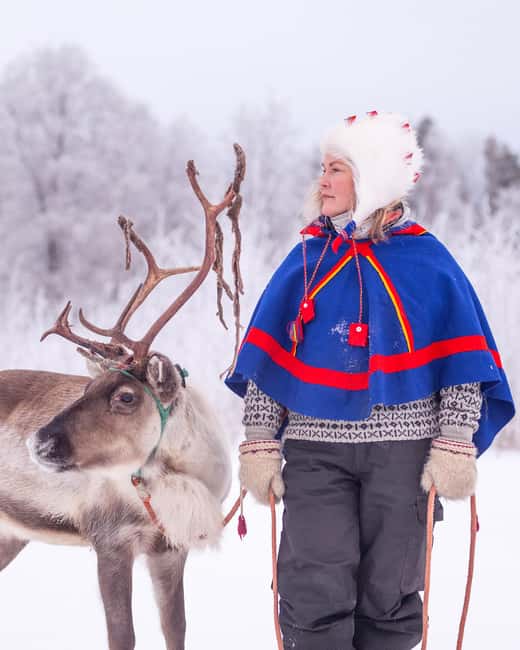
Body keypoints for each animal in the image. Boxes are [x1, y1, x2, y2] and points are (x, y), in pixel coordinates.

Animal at [0, 144, 246, 650]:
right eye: (88, 387)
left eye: (126, 397)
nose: (40, 442)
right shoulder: (109, 540)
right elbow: (122, 636)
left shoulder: (169, 548)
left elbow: (176, 629)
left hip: (9, 535)